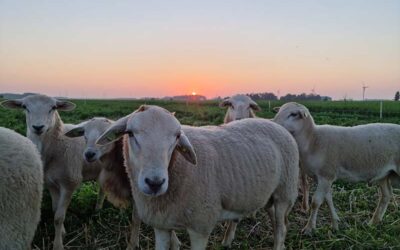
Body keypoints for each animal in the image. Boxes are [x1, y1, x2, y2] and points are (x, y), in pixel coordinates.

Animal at [0, 94, 106, 249]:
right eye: (25, 107)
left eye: (53, 107)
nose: (38, 127)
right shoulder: (51, 183)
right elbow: (55, 211)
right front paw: (62, 232)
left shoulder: (69, 183)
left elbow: (59, 217)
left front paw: (58, 244)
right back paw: (98, 209)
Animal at [65, 117, 182, 250]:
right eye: (85, 136)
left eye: (106, 137)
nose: (89, 154)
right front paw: (98, 210)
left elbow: (136, 219)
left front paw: (132, 244)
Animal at [96, 104, 296, 249]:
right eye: (130, 133)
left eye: (177, 136)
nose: (155, 183)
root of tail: (274, 123)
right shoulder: (161, 225)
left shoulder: (201, 225)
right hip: (268, 196)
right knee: (277, 223)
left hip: (285, 192)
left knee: (281, 229)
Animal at [274, 102, 400, 234]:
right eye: (279, 111)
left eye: (294, 114)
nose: (273, 122)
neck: (312, 140)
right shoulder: (324, 178)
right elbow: (328, 199)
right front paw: (335, 224)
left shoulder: (326, 175)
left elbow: (316, 202)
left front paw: (309, 228)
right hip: (384, 174)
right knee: (386, 195)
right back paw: (373, 222)